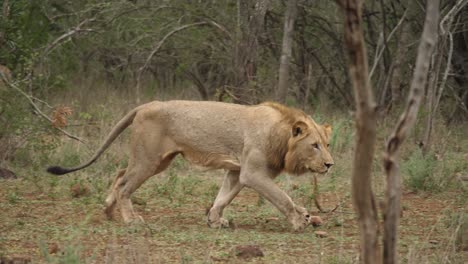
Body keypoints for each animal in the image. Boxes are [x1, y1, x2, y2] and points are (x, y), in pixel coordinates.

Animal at [46, 100, 332, 230]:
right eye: (314, 145)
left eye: (327, 143)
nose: (330, 165)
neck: (281, 136)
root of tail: (145, 105)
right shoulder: (252, 173)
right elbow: (281, 197)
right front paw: (300, 219)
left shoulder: (237, 171)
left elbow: (223, 197)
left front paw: (215, 220)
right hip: (148, 160)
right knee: (125, 185)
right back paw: (130, 219)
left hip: (158, 161)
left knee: (118, 175)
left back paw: (107, 210)